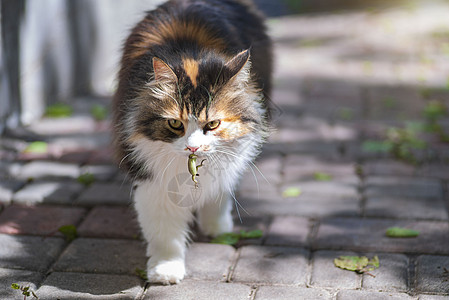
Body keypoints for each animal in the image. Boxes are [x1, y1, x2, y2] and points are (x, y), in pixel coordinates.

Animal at [114, 0, 272, 284]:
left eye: (213, 124)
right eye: (175, 124)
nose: (193, 147)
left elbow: (219, 190)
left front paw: (217, 226)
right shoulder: (151, 178)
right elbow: (165, 233)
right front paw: (166, 269)